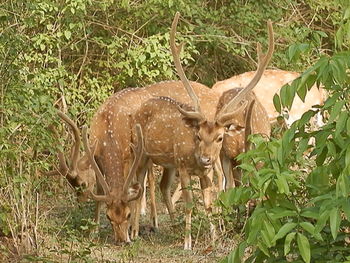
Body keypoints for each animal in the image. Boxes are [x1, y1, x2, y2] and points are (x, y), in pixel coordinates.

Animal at [133, 12, 274, 252]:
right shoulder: (186, 167)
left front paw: (215, 237)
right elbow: (192, 202)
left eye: (219, 137)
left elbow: (209, 202)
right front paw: (188, 243)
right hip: (145, 153)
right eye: (198, 136)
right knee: (140, 185)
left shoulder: (208, 171)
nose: (206, 158)